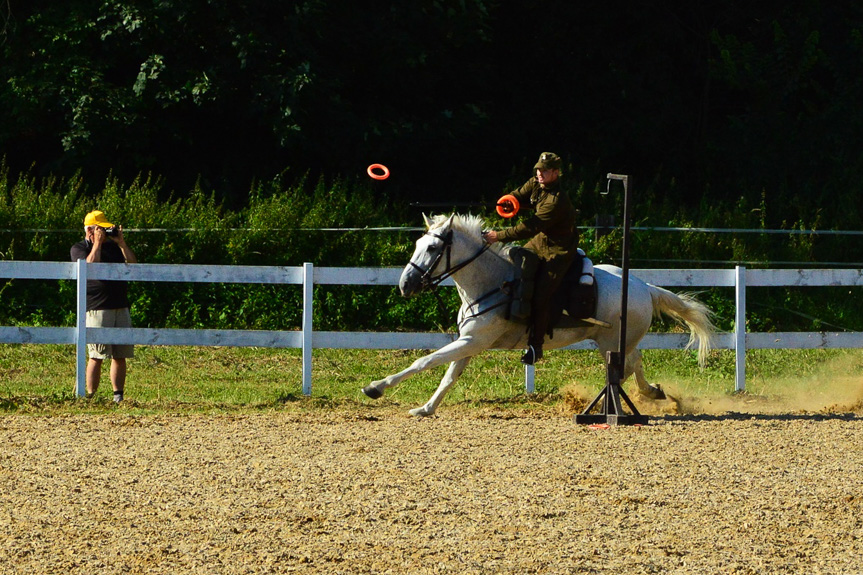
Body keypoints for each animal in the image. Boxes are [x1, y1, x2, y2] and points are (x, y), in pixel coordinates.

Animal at [362, 214, 716, 416]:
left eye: (434, 249)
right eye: (418, 243)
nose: (405, 285)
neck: (492, 282)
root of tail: (645, 287)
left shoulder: (473, 342)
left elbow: (424, 361)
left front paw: (376, 387)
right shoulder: (469, 343)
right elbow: (449, 376)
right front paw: (426, 408)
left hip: (611, 342)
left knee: (623, 369)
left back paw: (613, 405)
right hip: (617, 341)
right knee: (635, 362)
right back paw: (653, 392)